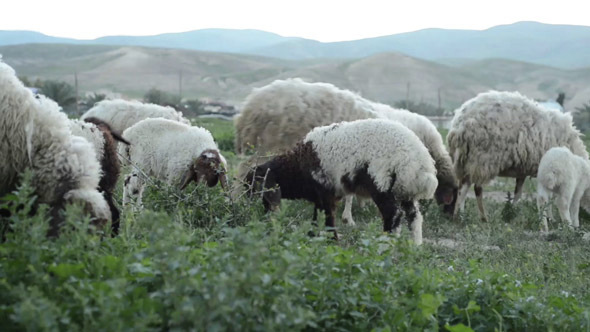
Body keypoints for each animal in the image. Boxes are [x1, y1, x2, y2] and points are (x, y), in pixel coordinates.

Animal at [245, 118, 440, 244]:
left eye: (256, 184)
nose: (266, 215)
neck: (297, 166)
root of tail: (420, 161)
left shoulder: (325, 188)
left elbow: (328, 217)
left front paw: (332, 241)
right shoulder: (320, 193)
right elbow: (317, 215)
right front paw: (312, 236)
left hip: (381, 181)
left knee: (393, 215)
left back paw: (385, 245)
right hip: (404, 189)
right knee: (414, 217)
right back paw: (414, 247)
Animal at [450, 89, 588, 222]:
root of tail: (459, 123)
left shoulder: (523, 171)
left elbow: (518, 193)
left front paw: (511, 212)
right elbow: (549, 196)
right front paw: (550, 218)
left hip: (466, 161)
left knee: (463, 186)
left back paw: (461, 214)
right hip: (482, 159)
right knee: (473, 188)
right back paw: (472, 217)